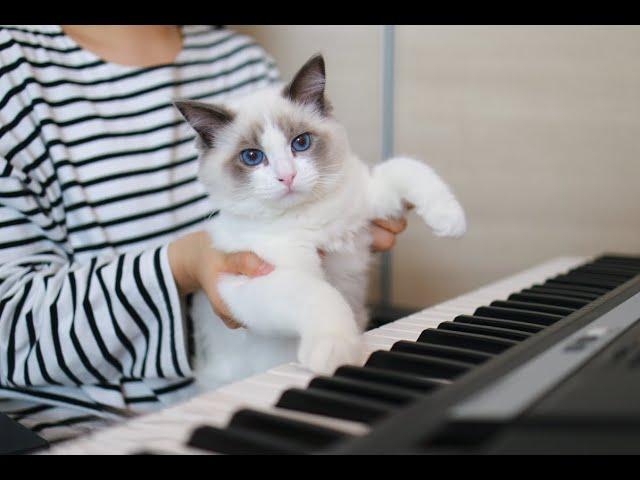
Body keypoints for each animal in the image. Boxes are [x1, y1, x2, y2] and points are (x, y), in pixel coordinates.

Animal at [175, 53, 464, 390]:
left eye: (300, 143)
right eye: (252, 157)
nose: (287, 176)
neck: (309, 216)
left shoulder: (366, 196)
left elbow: (405, 167)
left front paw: (451, 220)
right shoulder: (253, 278)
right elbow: (320, 294)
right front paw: (335, 351)